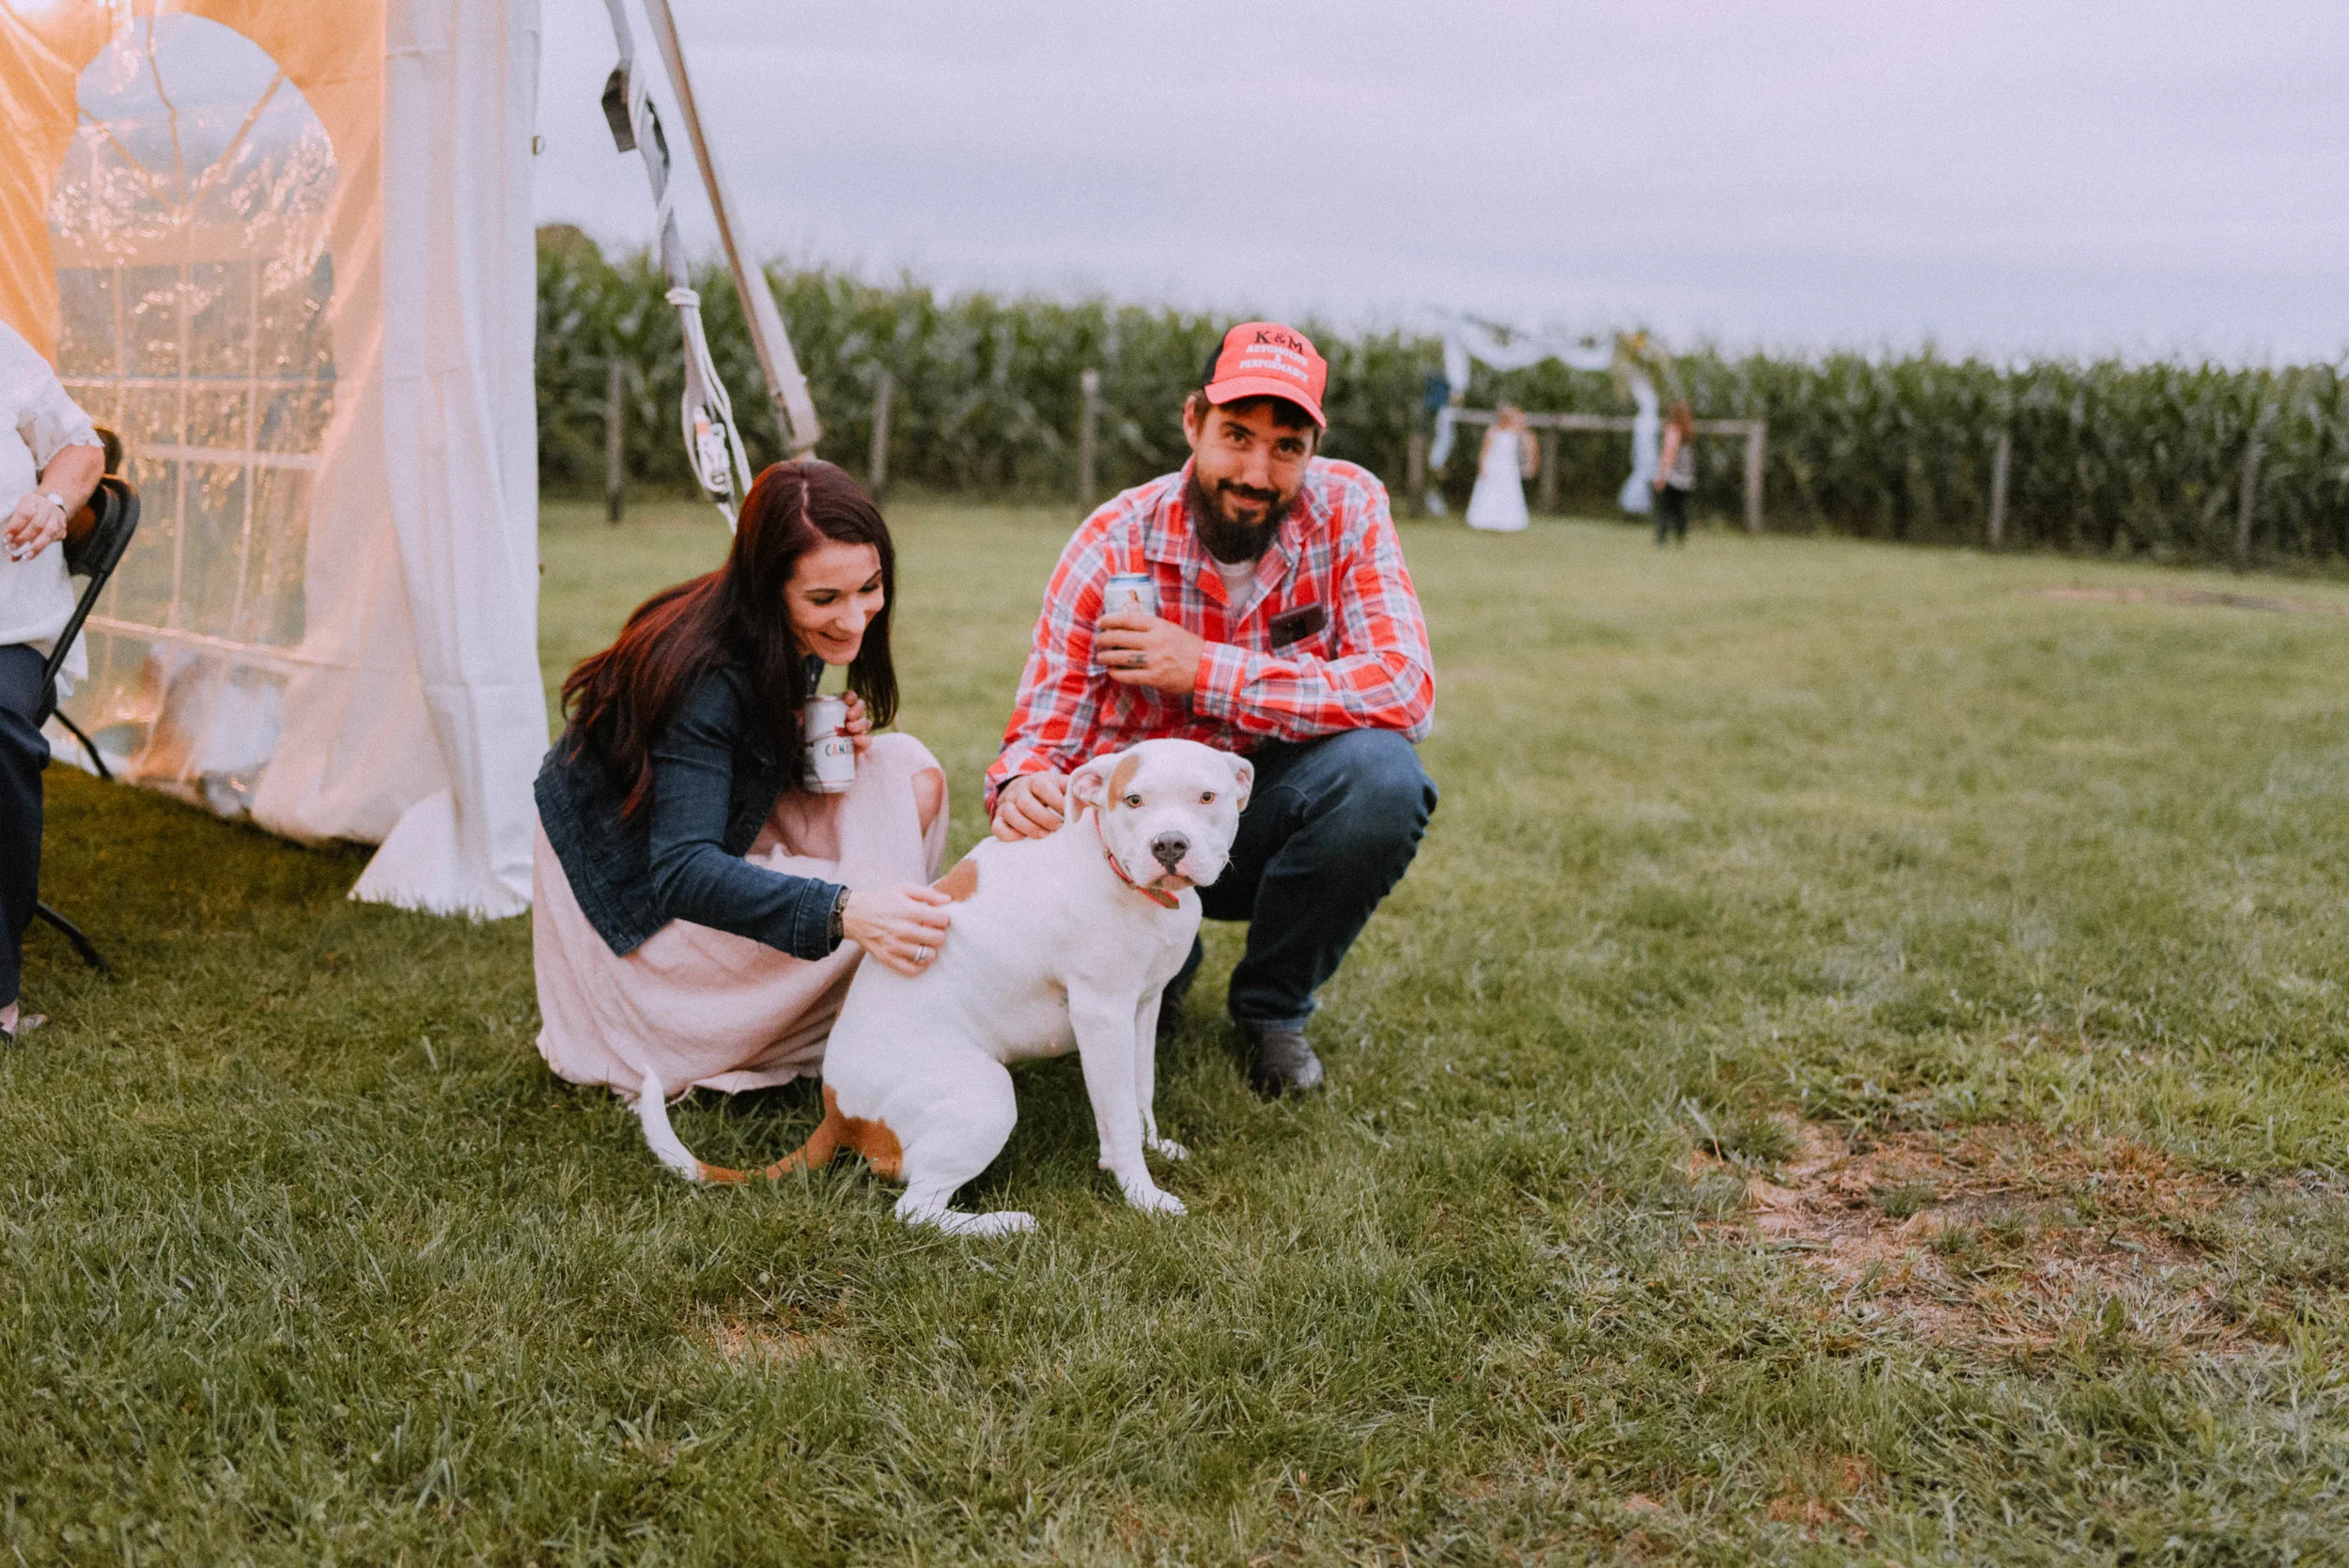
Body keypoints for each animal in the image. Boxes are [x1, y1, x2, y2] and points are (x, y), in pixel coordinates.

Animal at [638, 737, 1254, 1236]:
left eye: (1207, 797)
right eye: (1133, 802)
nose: (1169, 845)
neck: (1115, 869)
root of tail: (838, 1112)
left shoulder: (1143, 1005)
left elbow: (1140, 1088)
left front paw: (1157, 1146)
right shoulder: (1102, 1014)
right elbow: (1118, 1117)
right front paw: (1143, 1196)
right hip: (984, 1096)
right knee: (913, 1210)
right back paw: (1003, 1224)